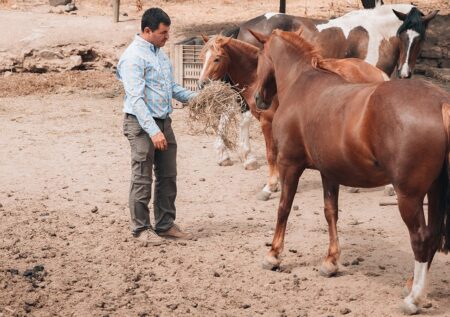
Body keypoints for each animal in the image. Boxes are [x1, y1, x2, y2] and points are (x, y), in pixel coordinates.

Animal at [199, 34, 388, 198]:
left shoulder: (267, 122)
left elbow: (271, 154)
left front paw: (270, 186)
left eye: (217, 58)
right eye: (202, 58)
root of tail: (377, 72)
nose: (201, 84)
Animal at [251, 29, 448, 314]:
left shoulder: (289, 164)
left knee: (421, 238)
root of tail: (439, 102)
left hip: (409, 196)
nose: (258, 99)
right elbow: (330, 212)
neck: (302, 83)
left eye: (258, 56)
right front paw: (330, 261)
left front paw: (273, 255)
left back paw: (414, 299)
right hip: (434, 191)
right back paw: (412, 286)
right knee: (432, 236)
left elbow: (283, 208)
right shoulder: (329, 172)